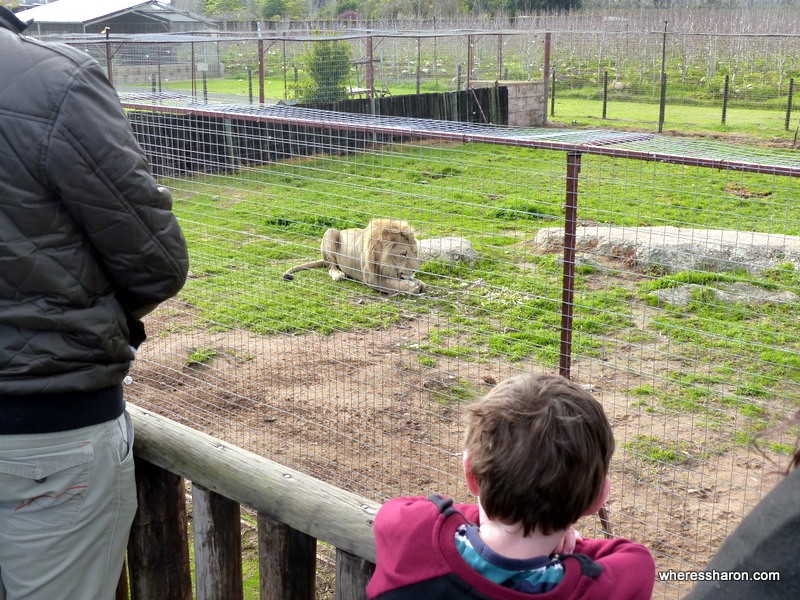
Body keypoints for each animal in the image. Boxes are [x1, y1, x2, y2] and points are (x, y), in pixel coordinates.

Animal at [284, 220, 428, 296]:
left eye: (415, 253)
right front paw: (412, 286)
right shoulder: (372, 279)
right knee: (331, 266)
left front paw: (419, 282)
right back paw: (338, 274)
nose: (415, 270)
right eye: (403, 254)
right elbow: (393, 283)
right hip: (331, 232)